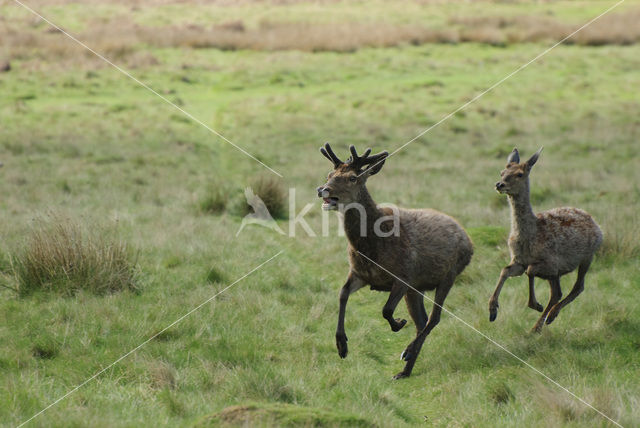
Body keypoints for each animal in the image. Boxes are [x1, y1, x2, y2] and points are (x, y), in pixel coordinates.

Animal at [316, 144, 472, 378]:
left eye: (352, 177)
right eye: (329, 175)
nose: (323, 189)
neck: (371, 249)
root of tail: (469, 241)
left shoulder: (404, 275)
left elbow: (386, 310)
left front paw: (398, 324)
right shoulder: (359, 274)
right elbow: (342, 294)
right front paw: (342, 346)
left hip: (449, 275)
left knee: (434, 318)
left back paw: (407, 353)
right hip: (418, 288)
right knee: (422, 321)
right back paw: (404, 371)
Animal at [488, 149, 604, 332]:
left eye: (520, 174)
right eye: (502, 172)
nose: (499, 184)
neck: (529, 237)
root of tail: (595, 223)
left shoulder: (551, 262)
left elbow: (530, 271)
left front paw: (535, 305)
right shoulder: (519, 261)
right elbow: (505, 270)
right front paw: (492, 310)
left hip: (588, 256)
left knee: (578, 286)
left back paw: (549, 317)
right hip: (558, 273)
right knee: (557, 292)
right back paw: (539, 325)